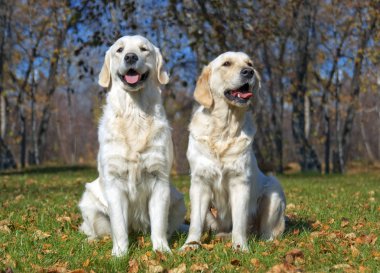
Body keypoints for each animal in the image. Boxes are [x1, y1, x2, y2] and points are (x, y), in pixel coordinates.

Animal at [79, 35, 186, 256]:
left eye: (144, 49)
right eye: (119, 50)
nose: (130, 57)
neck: (135, 114)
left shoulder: (160, 179)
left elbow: (159, 224)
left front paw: (162, 250)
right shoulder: (114, 182)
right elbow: (119, 226)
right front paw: (120, 253)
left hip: (179, 201)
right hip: (89, 200)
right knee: (95, 231)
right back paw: (90, 241)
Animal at [181, 51, 284, 251]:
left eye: (250, 64)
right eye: (226, 64)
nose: (249, 72)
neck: (224, 129)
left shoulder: (240, 182)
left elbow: (239, 221)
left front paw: (240, 247)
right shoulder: (200, 183)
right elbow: (195, 222)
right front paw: (191, 245)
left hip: (274, 190)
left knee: (266, 232)